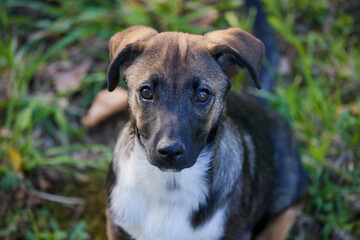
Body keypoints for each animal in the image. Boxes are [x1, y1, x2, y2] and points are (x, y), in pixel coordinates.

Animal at [103, 23, 306, 240]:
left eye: (202, 95)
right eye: (146, 92)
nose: (170, 152)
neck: (170, 186)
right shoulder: (117, 226)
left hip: (288, 179)